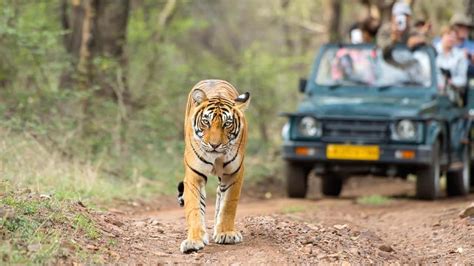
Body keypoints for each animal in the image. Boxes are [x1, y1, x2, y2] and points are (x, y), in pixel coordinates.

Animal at [178, 79, 250, 254]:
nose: (214, 145)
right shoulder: (194, 175)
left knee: (220, 195)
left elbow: (229, 204)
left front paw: (226, 233)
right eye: (206, 121)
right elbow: (194, 209)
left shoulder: (234, 173)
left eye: (227, 124)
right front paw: (194, 241)